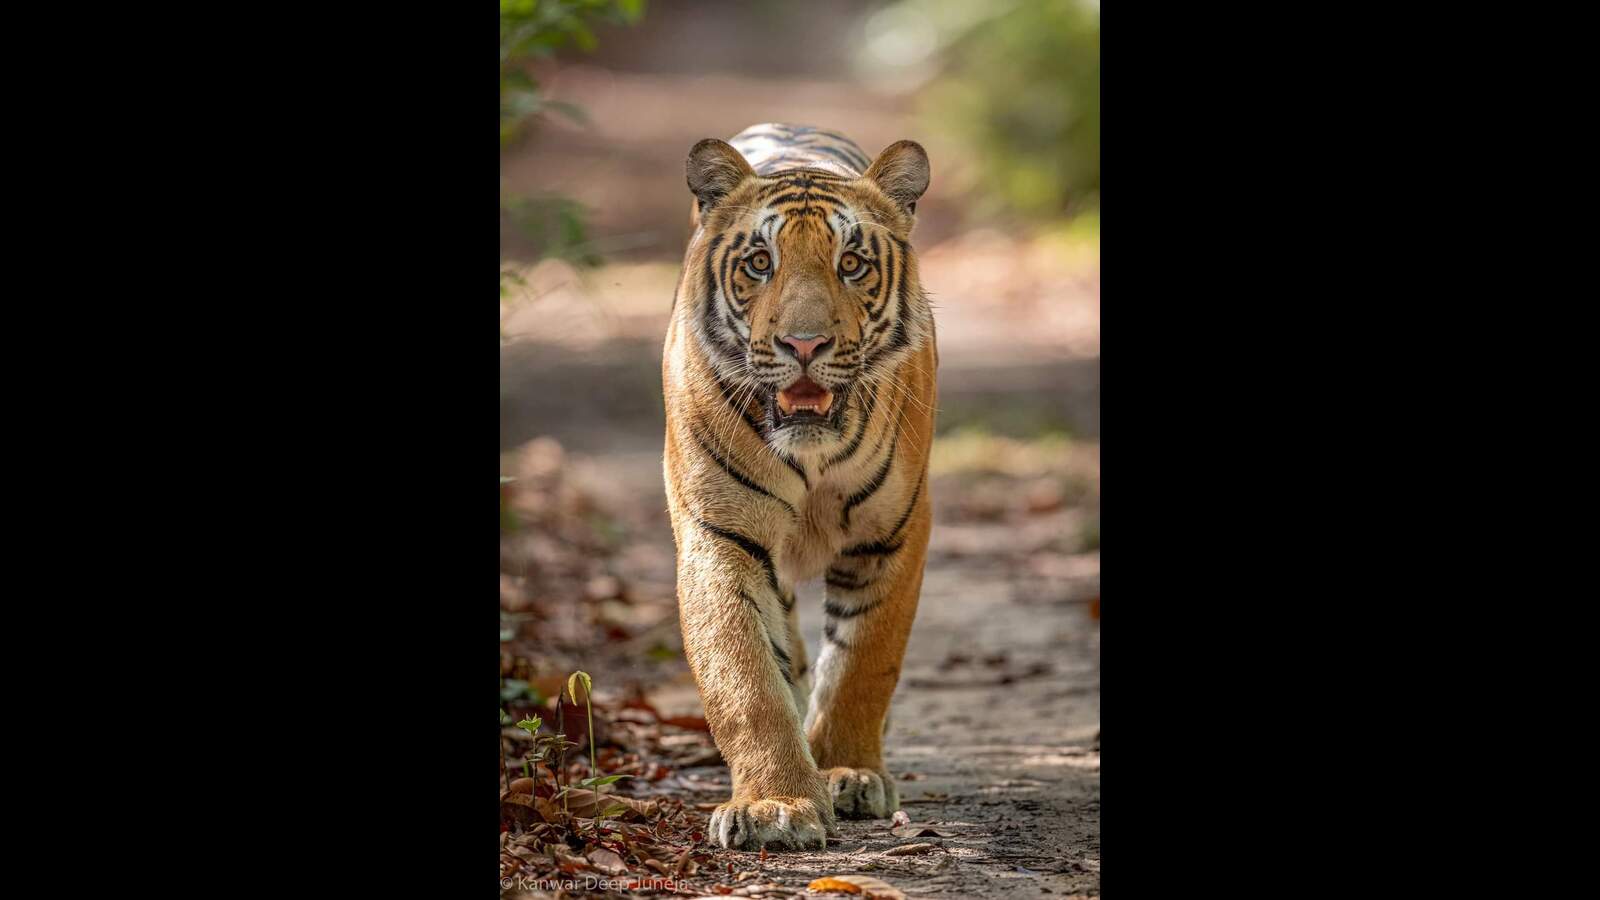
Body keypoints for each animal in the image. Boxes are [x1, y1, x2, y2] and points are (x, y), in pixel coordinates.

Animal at [661, 123, 936, 851]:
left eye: (852, 264)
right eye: (760, 263)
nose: (804, 345)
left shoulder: (894, 534)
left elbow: (865, 664)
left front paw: (847, 772)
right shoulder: (720, 540)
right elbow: (746, 682)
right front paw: (775, 804)